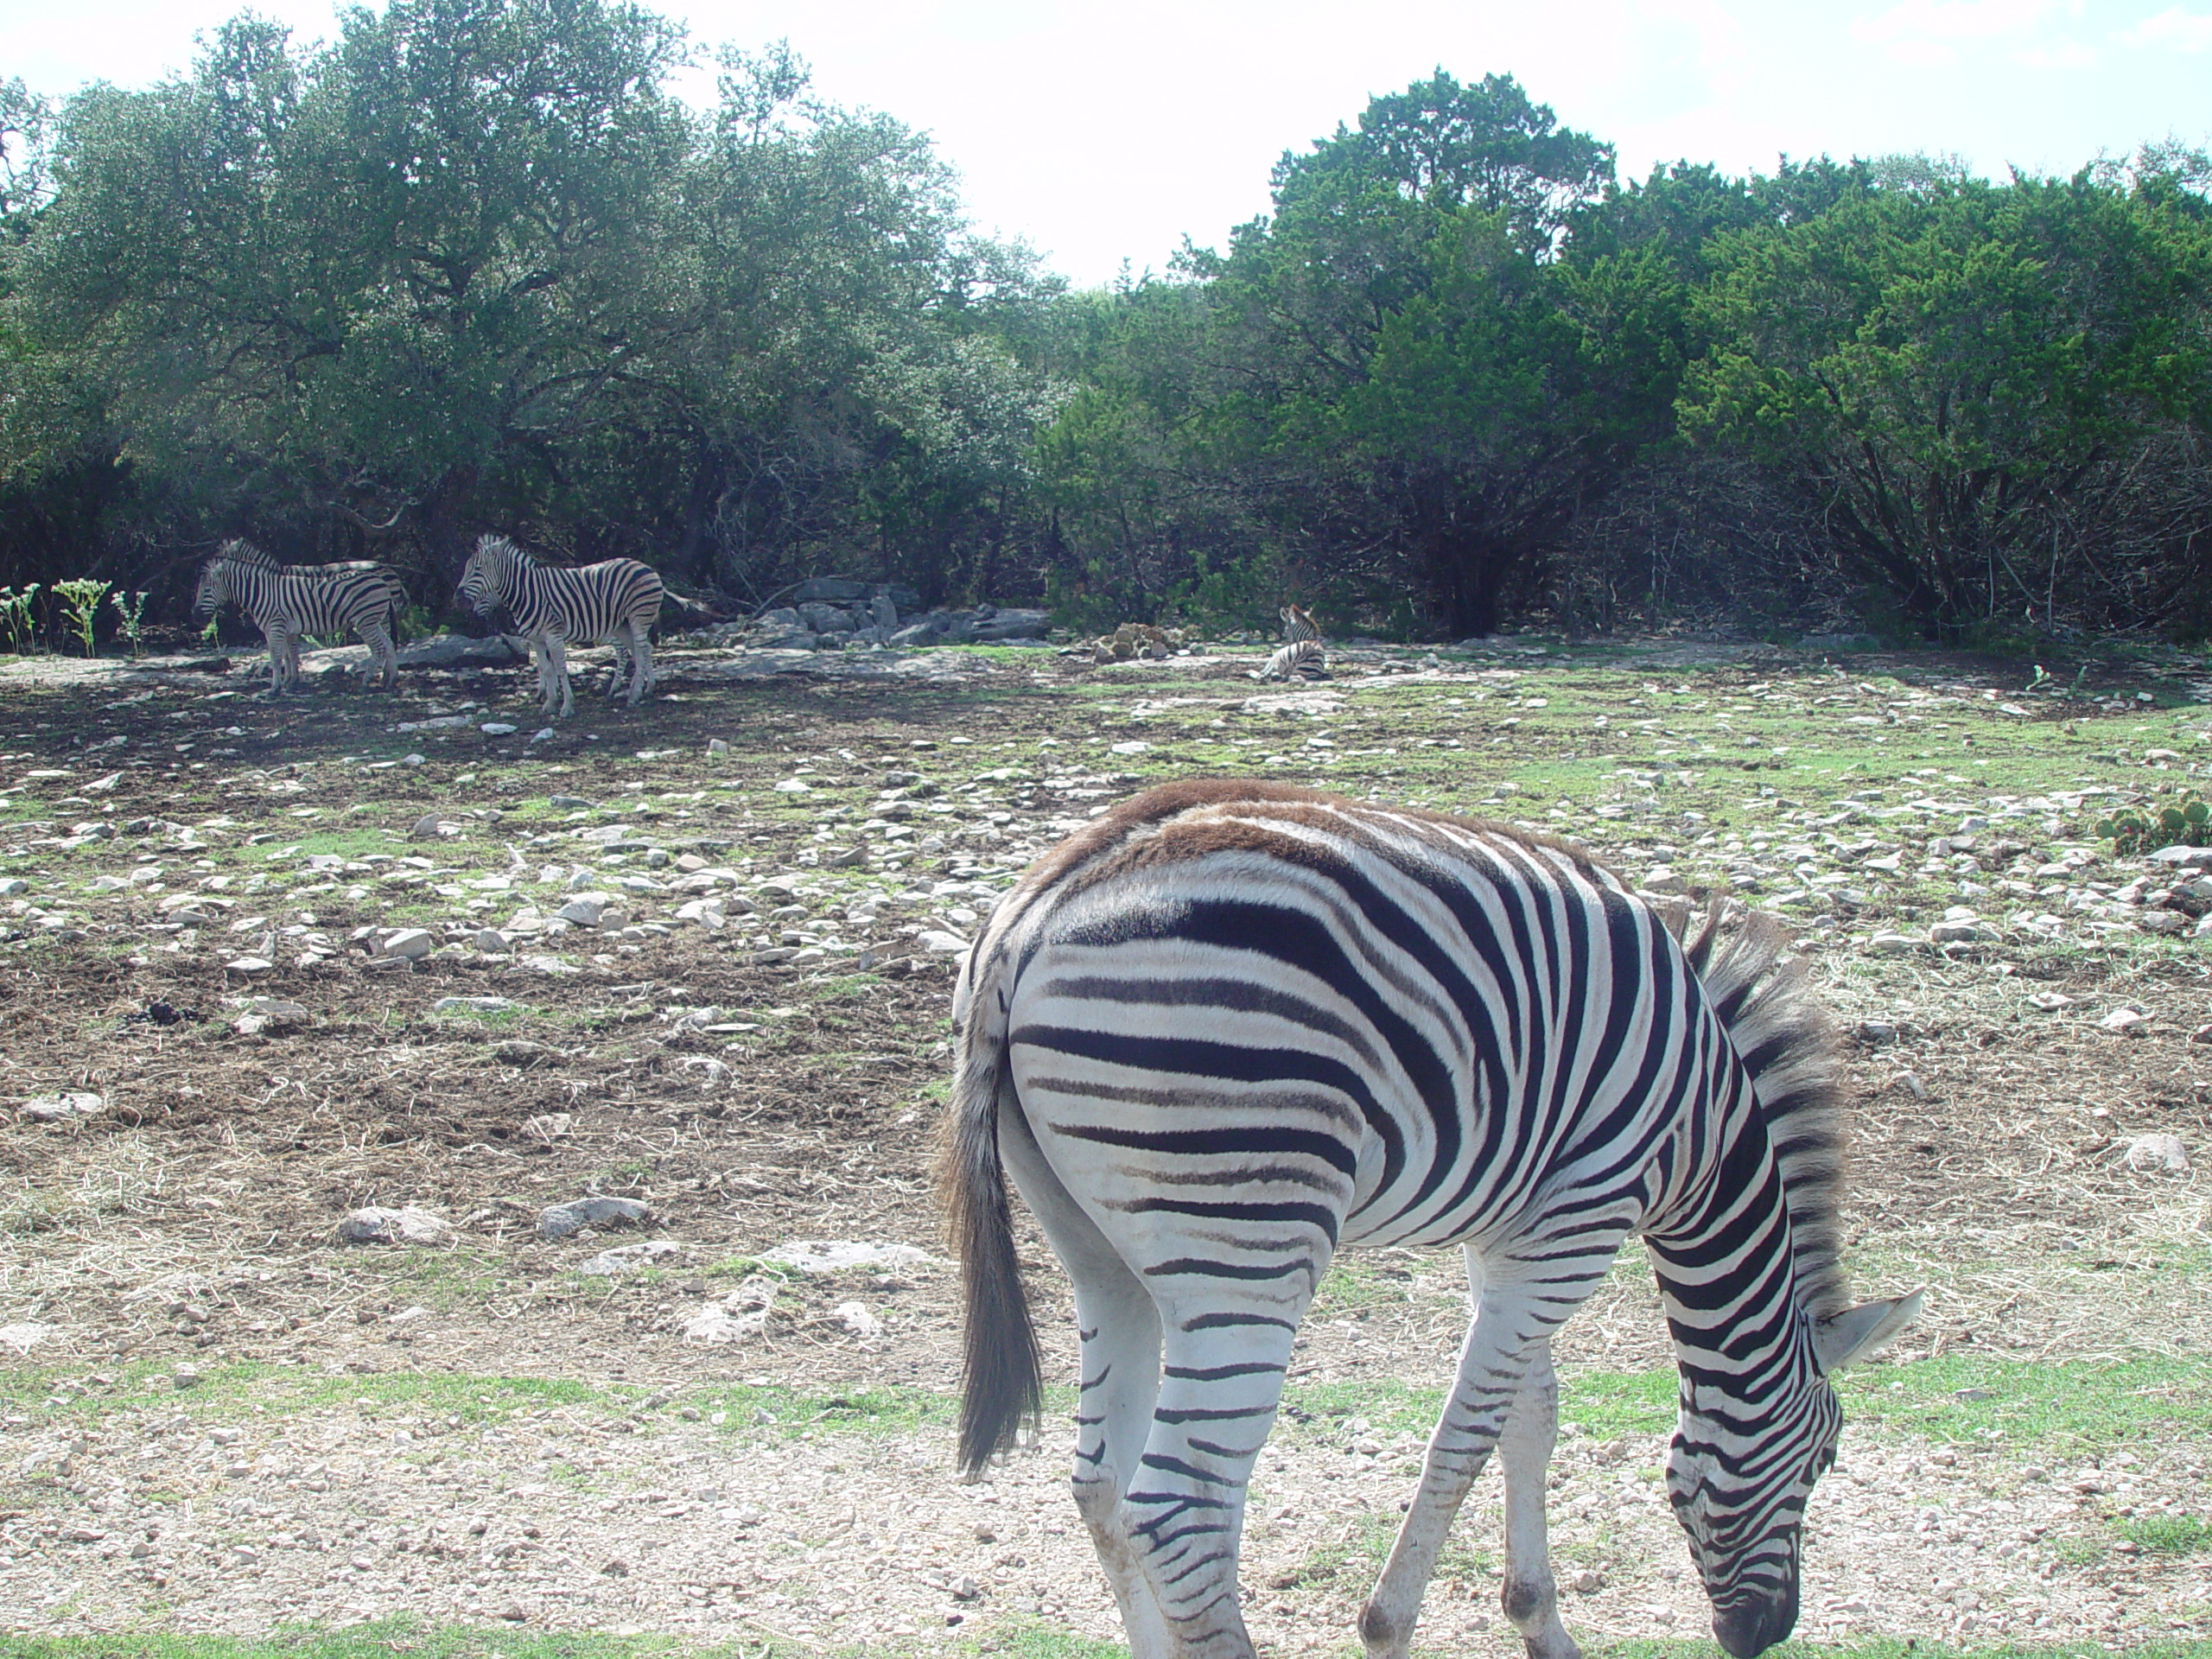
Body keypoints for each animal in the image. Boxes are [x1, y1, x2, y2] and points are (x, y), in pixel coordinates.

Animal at [194, 542, 407, 698]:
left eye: (207, 589)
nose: (195, 616)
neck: (262, 592)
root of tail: (383, 580)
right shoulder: (285, 629)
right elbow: (290, 656)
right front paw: (289, 683)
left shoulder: (276, 627)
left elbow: (276, 658)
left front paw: (275, 689)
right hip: (375, 620)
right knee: (389, 644)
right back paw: (390, 680)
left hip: (365, 621)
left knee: (379, 647)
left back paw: (367, 682)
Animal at [457, 532, 664, 716]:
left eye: (477, 570)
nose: (459, 599)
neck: (528, 593)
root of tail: (643, 565)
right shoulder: (537, 639)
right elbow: (547, 668)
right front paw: (549, 702)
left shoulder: (553, 635)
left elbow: (561, 668)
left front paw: (566, 706)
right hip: (622, 625)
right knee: (641, 650)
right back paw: (642, 689)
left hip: (638, 617)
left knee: (641, 650)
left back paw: (634, 695)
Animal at [946, 783, 1920, 1659]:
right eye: (1825, 1458)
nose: (1764, 1635)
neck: (1704, 1132)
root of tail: (1036, 909)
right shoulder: (1575, 1228)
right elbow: (1467, 1436)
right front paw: (1388, 1628)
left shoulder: (1512, 1237)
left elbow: (1532, 1417)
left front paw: (1540, 1624)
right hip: (1246, 1241)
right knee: (1183, 1511)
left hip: (1097, 1250)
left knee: (1101, 1485)